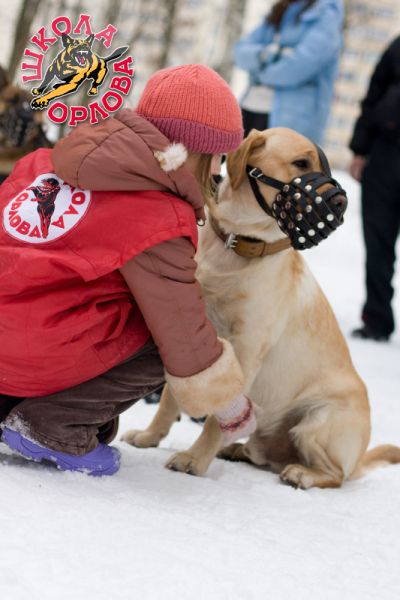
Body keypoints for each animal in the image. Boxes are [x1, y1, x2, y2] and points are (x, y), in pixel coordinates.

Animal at [122, 128, 400, 489]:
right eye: (302, 163)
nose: (341, 202)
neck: (236, 243)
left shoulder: (246, 349)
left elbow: (215, 419)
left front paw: (194, 460)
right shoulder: (193, 335)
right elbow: (173, 394)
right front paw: (150, 436)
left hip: (316, 422)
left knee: (335, 476)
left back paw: (301, 473)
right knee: (263, 455)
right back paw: (237, 450)